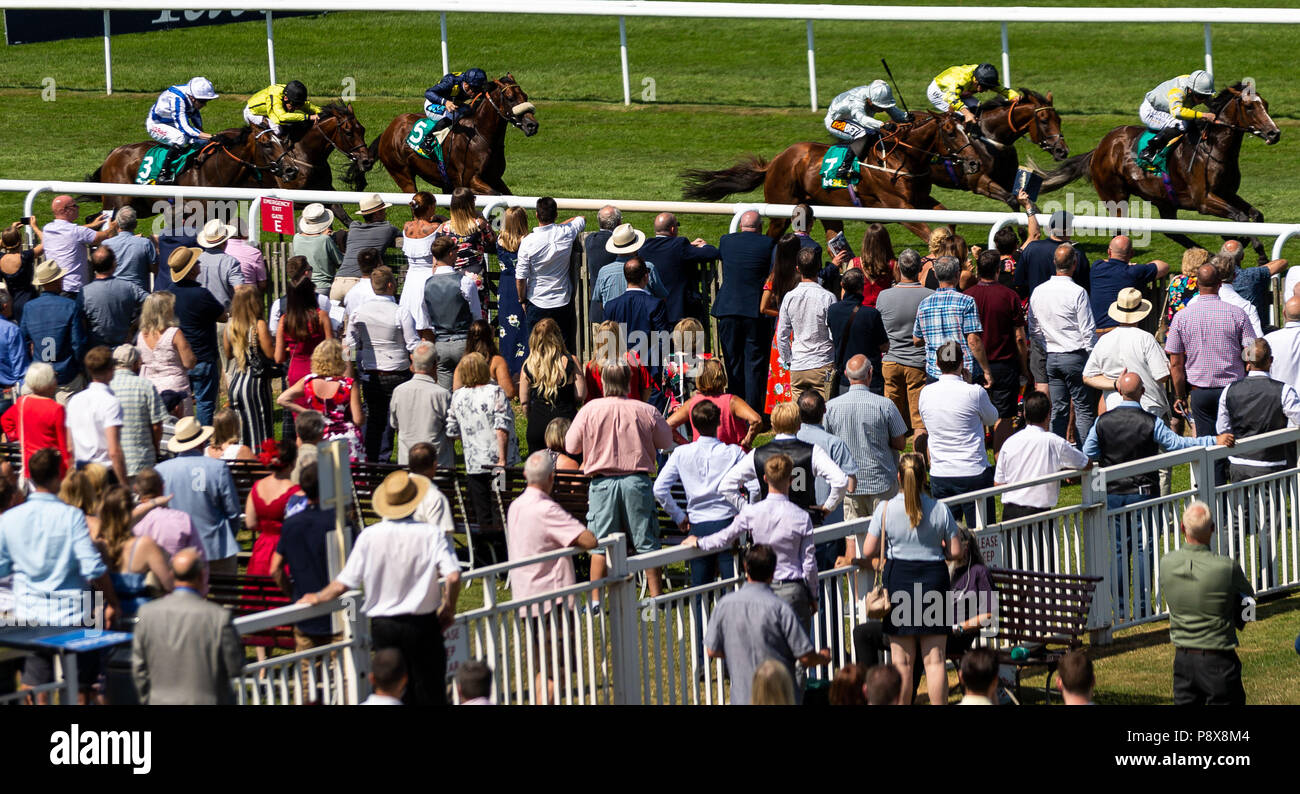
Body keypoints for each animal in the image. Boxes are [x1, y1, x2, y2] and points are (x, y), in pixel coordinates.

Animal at [371, 74, 538, 196]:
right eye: (510, 98)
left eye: (525, 96)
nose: (532, 125)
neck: (481, 135)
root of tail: (388, 130)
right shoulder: (469, 180)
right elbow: (494, 194)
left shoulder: (495, 178)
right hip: (402, 174)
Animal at [681, 113, 977, 240]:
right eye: (951, 132)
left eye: (968, 130)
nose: (974, 162)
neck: (901, 156)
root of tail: (775, 162)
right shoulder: (899, 207)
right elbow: (930, 232)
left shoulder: (921, 200)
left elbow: (947, 221)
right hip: (780, 210)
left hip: (825, 207)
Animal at [930, 88, 1071, 206]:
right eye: (1044, 121)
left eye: (1059, 120)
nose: (1062, 151)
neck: (990, 137)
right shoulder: (978, 181)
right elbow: (1012, 200)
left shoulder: (1008, 178)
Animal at [1034, 81, 1279, 261]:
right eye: (1250, 107)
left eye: (1266, 104)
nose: (1274, 133)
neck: (1213, 147)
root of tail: (1099, 149)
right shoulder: (1203, 199)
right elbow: (1240, 216)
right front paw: (1252, 246)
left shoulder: (1227, 192)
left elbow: (1256, 214)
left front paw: (1246, 242)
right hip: (1115, 196)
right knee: (1119, 229)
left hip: (1164, 199)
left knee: (1170, 230)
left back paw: (1206, 254)